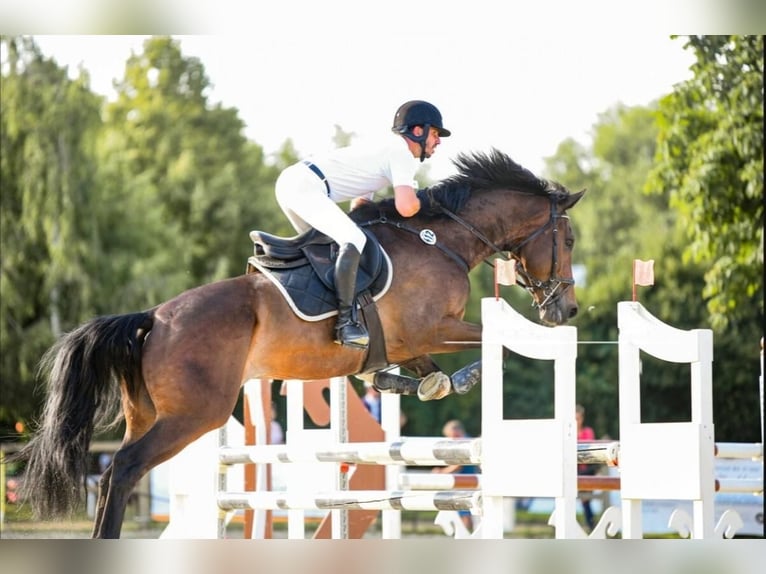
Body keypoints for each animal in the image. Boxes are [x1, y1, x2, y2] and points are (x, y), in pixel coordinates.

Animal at [12, 148, 585, 538]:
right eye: (571, 240)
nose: (567, 311)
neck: (444, 238)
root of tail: (154, 318)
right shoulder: (431, 326)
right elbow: (488, 339)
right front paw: (471, 373)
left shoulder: (409, 342)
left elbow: (417, 371)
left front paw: (421, 383)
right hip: (196, 414)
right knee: (124, 470)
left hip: (149, 413)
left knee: (117, 474)